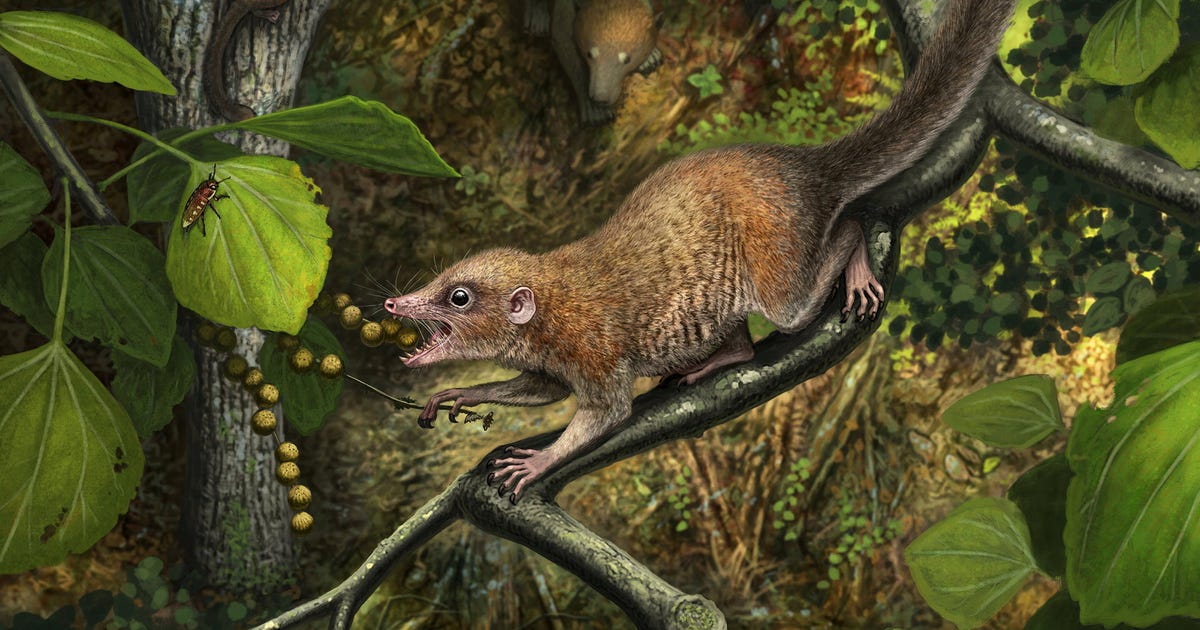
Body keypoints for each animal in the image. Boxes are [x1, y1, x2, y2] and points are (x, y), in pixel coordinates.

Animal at [527, 0, 663, 125]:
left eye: (627, 59)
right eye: (589, 54)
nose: (600, 98)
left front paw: (651, 58)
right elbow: (563, 38)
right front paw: (595, 111)